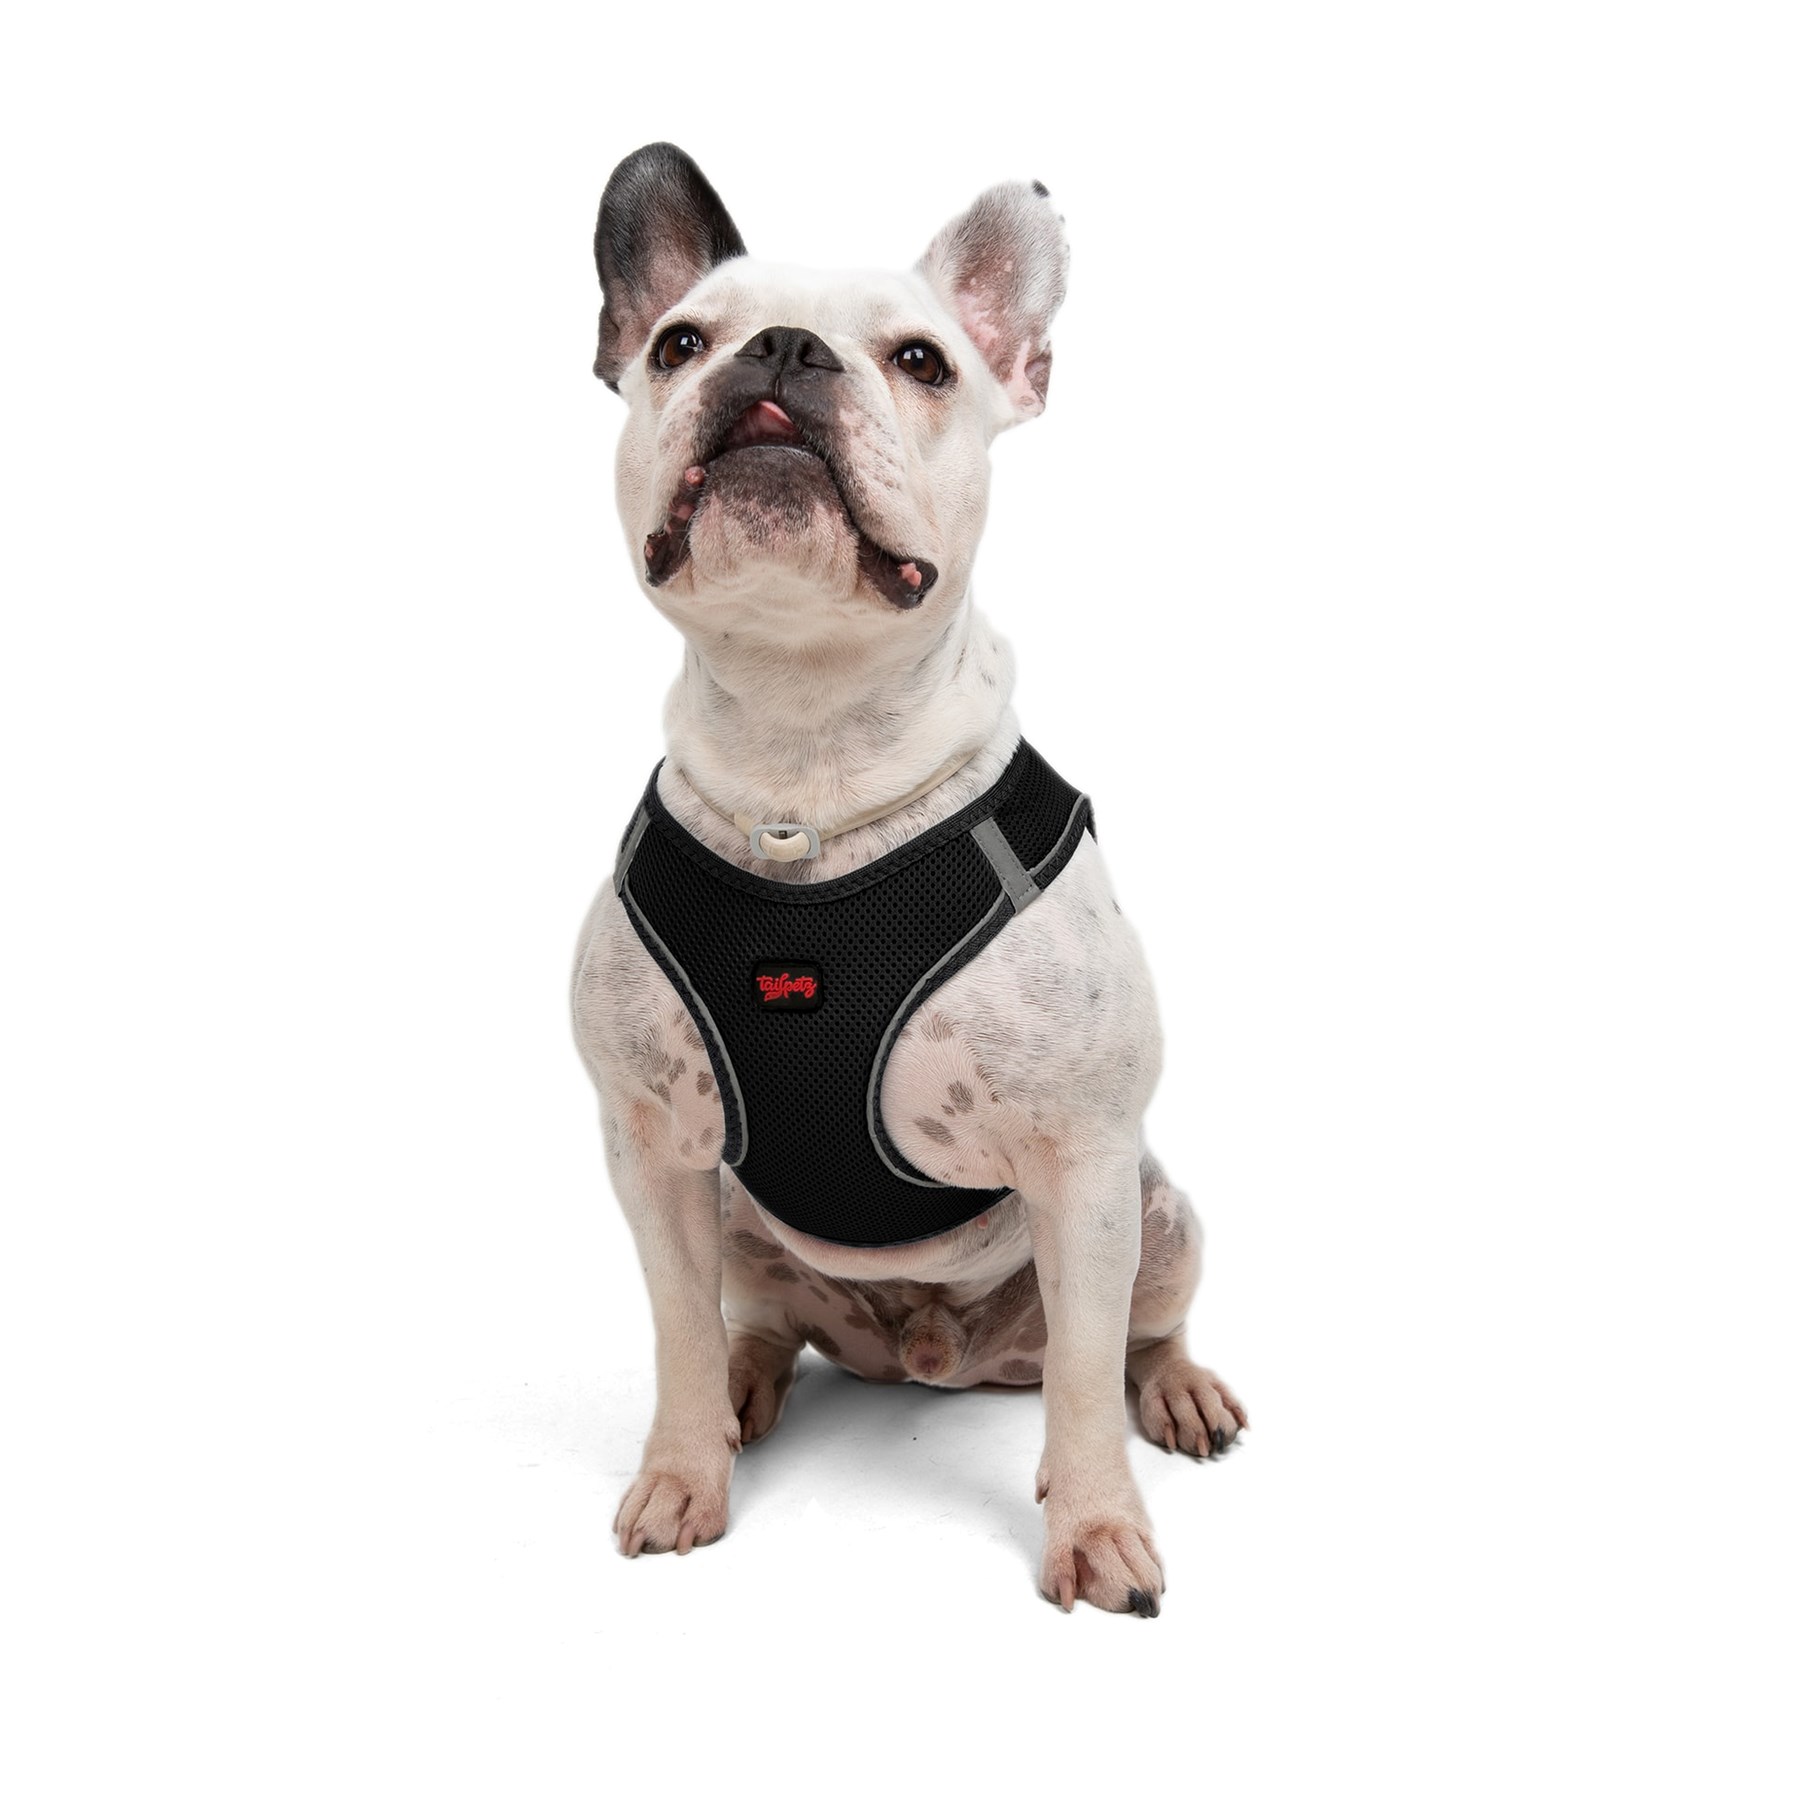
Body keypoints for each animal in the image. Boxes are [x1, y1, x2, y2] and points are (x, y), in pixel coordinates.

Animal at [571, 142, 1247, 1615]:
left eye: (924, 360)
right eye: (679, 342)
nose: (780, 348)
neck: (808, 753)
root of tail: (930, 1356)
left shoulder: (1084, 1161)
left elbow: (1084, 1385)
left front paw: (1097, 1527)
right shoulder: (651, 1151)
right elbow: (676, 1330)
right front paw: (683, 1470)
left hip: (1160, 1214)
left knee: (1119, 1346)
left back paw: (1174, 1393)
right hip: (741, 1221)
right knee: (758, 1325)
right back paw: (747, 1395)